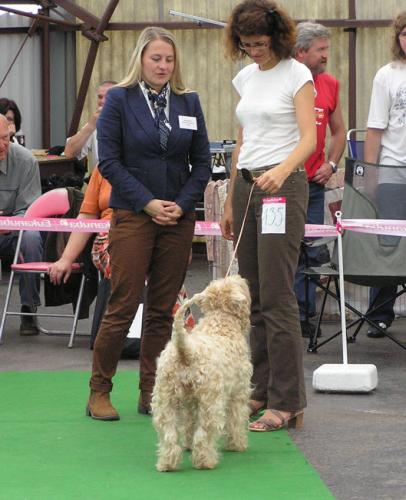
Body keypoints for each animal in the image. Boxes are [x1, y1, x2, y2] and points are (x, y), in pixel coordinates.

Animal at [151, 274, 253, 471]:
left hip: (165, 400)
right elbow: (236, 419)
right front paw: (237, 444)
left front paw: (187, 444)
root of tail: (185, 351)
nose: (242, 278)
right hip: (210, 403)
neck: (221, 323)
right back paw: (206, 461)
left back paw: (167, 463)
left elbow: (189, 423)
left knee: (169, 434)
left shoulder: (192, 402)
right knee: (204, 434)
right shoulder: (239, 392)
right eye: (241, 286)